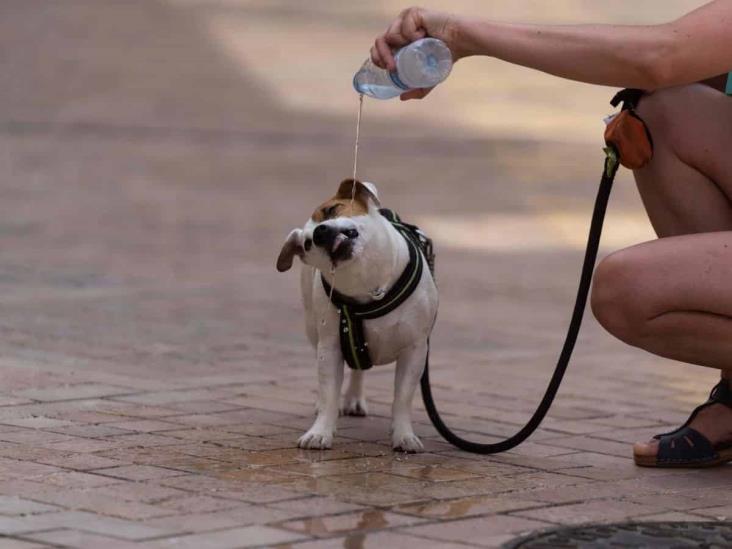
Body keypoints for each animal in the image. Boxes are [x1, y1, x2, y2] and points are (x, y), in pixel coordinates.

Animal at [276, 179, 438, 450]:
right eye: (307, 244)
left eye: (331, 210)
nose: (319, 233)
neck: (367, 283)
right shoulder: (330, 348)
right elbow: (329, 391)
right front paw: (320, 431)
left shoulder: (414, 349)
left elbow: (403, 396)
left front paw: (404, 435)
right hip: (314, 329)